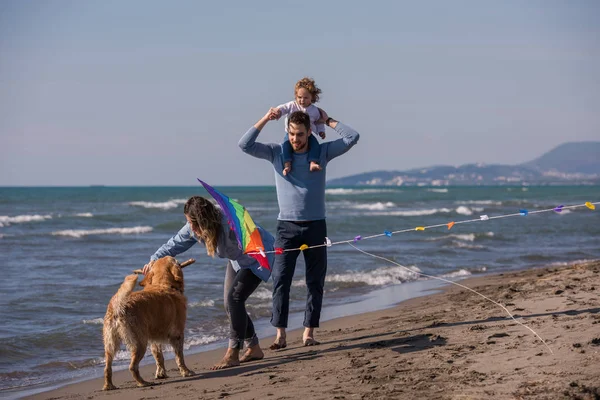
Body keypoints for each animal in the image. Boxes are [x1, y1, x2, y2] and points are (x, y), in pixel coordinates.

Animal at [102, 256, 195, 390]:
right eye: (175, 261)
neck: (163, 284)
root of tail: (117, 307)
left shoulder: (154, 338)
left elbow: (158, 356)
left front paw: (161, 374)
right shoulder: (177, 334)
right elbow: (179, 357)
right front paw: (186, 372)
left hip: (110, 344)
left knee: (107, 368)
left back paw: (109, 385)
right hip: (140, 343)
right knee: (132, 367)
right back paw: (143, 383)